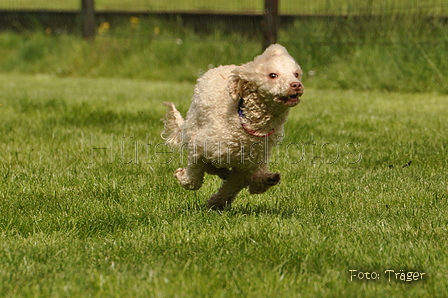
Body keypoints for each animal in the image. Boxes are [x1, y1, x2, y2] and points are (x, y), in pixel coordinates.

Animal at [162, 43, 304, 210]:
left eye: (296, 74)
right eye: (273, 75)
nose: (296, 85)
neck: (244, 124)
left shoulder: (246, 166)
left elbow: (232, 185)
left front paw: (217, 202)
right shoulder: (200, 145)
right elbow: (195, 175)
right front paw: (184, 178)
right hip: (193, 127)